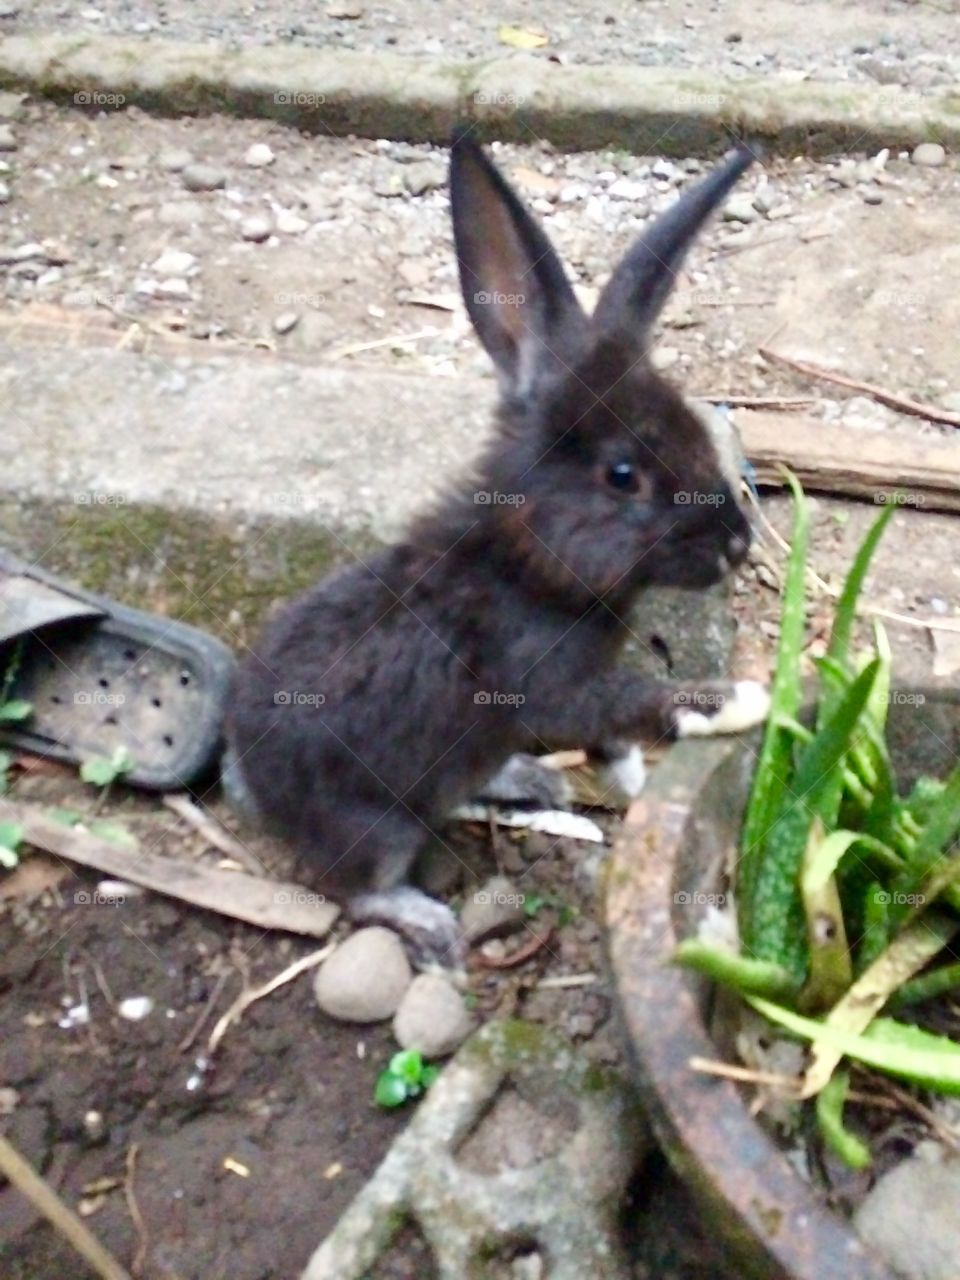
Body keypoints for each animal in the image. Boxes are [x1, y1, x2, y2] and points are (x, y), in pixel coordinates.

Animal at [224, 130, 769, 967]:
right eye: (623, 475)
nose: (737, 544)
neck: (528, 569)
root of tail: (250, 775)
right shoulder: (548, 686)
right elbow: (635, 698)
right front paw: (734, 701)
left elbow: (615, 738)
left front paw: (635, 781)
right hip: (375, 826)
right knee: (357, 891)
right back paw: (432, 924)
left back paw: (532, 783)